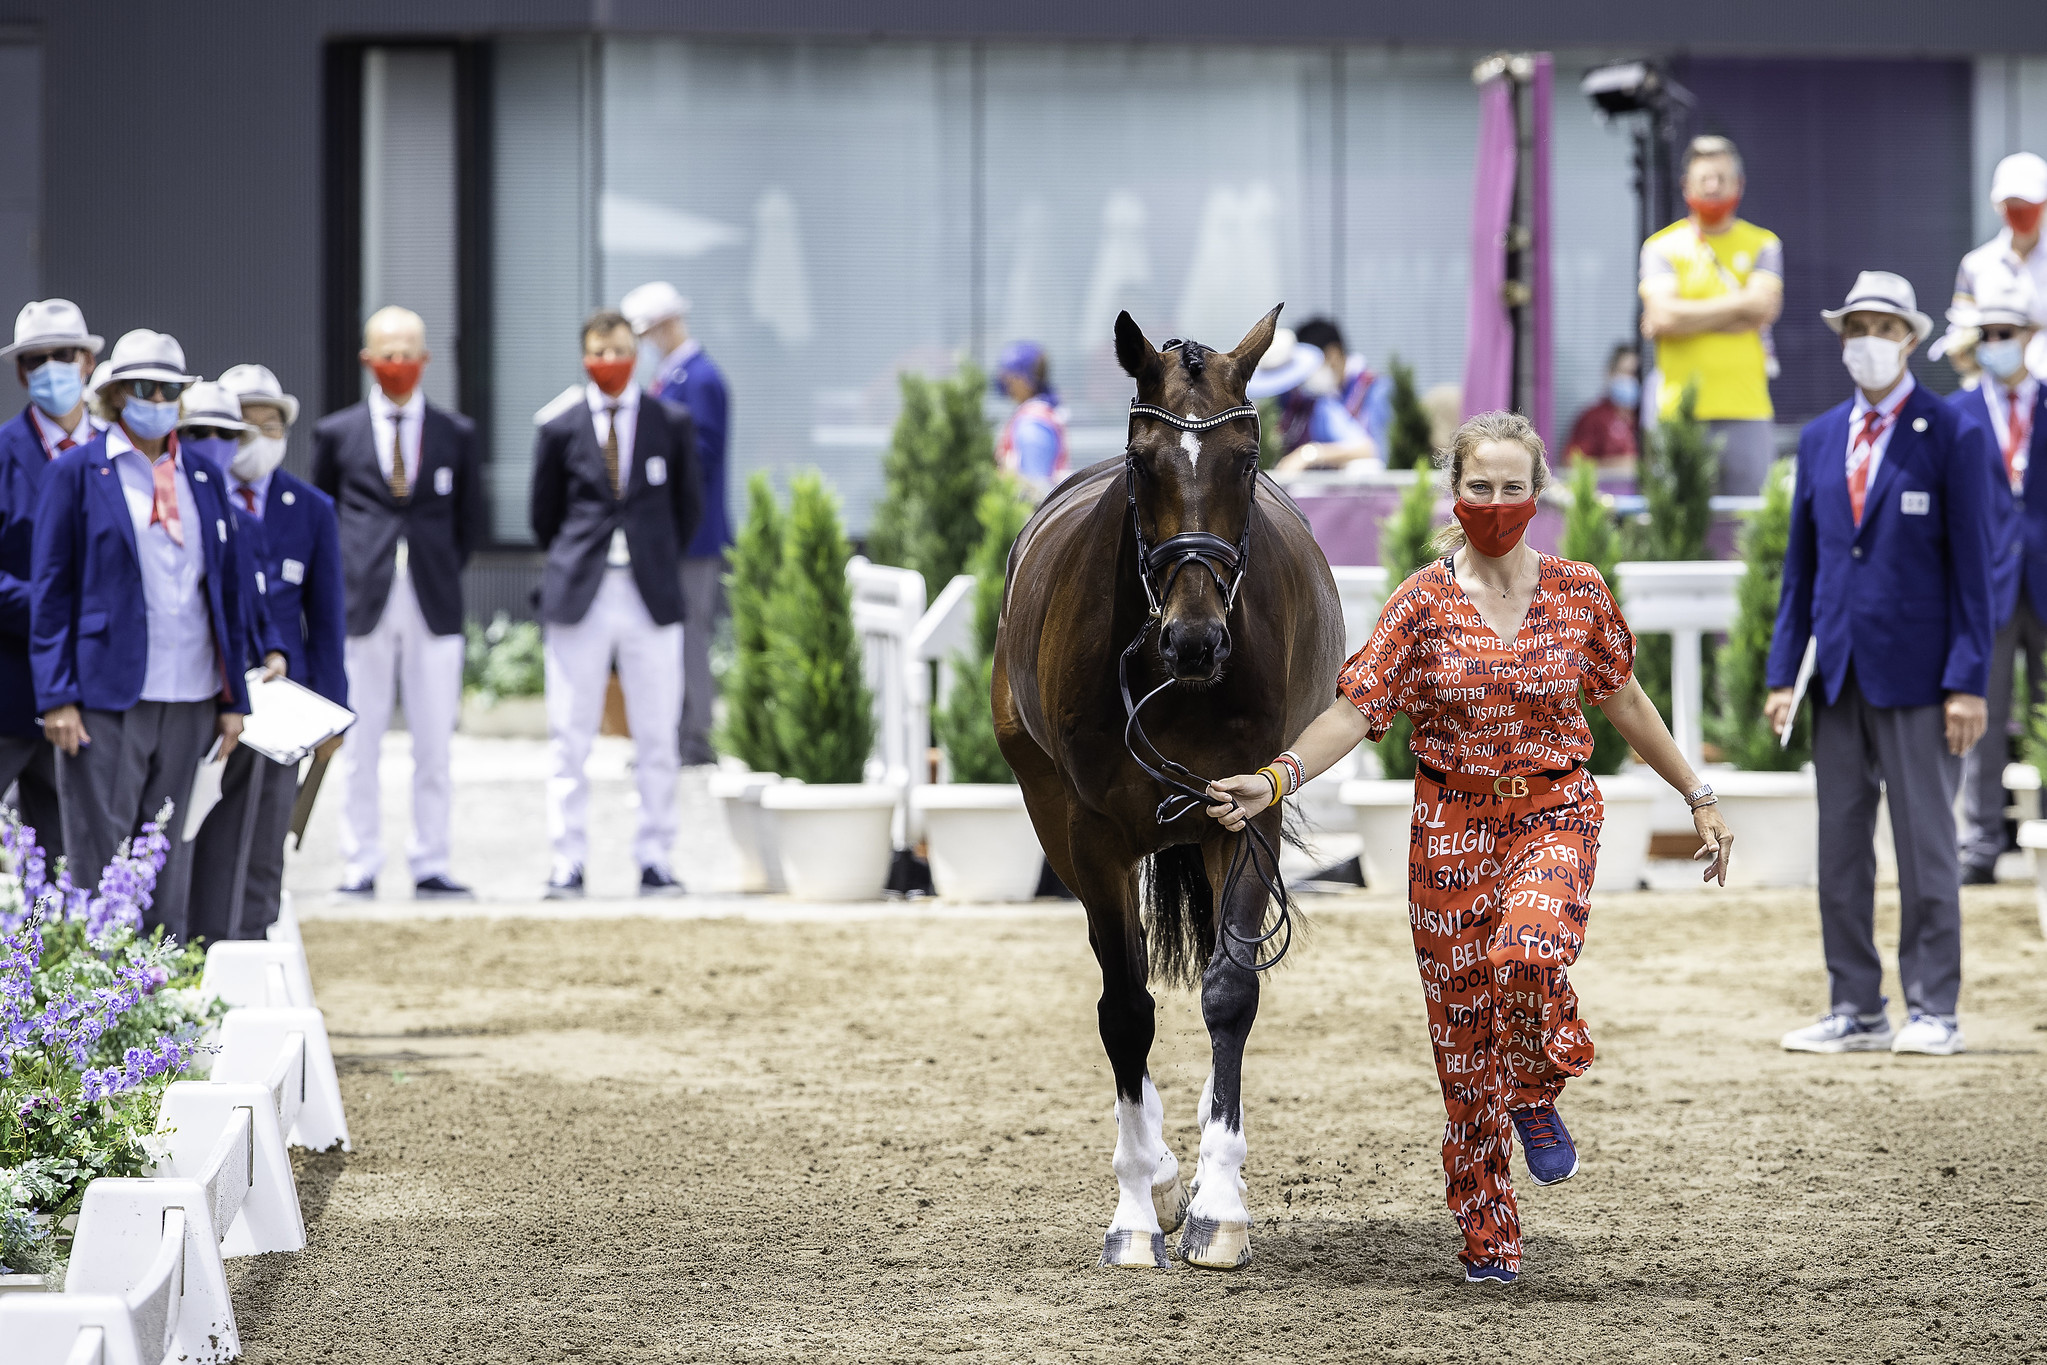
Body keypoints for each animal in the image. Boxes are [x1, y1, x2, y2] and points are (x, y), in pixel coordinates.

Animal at [990, 309, 1342, 1268]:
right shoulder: (1090, 836)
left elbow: (1229, 991)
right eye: (1141, 459)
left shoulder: (1244, 814)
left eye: (1247, 458)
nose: (1194, 640)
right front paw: (1136, 1210)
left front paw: (1221, 1206)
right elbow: (1125, 1009)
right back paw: (1152, 1172)